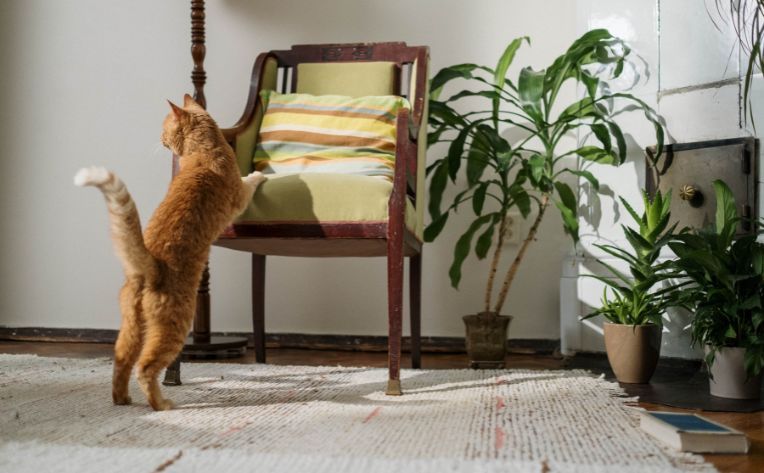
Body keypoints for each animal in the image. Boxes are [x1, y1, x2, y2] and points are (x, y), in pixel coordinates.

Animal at [74, 95, 266, 410]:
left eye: (163, 128)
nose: (160, 139)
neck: (203, 147)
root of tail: (149, 266)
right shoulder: (239, 197)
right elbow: (249, 181)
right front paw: (259, 174)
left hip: (132, 328)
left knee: (121, 361)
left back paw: (122, 399)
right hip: (175, 326)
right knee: (145, 367)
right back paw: (162, 404)